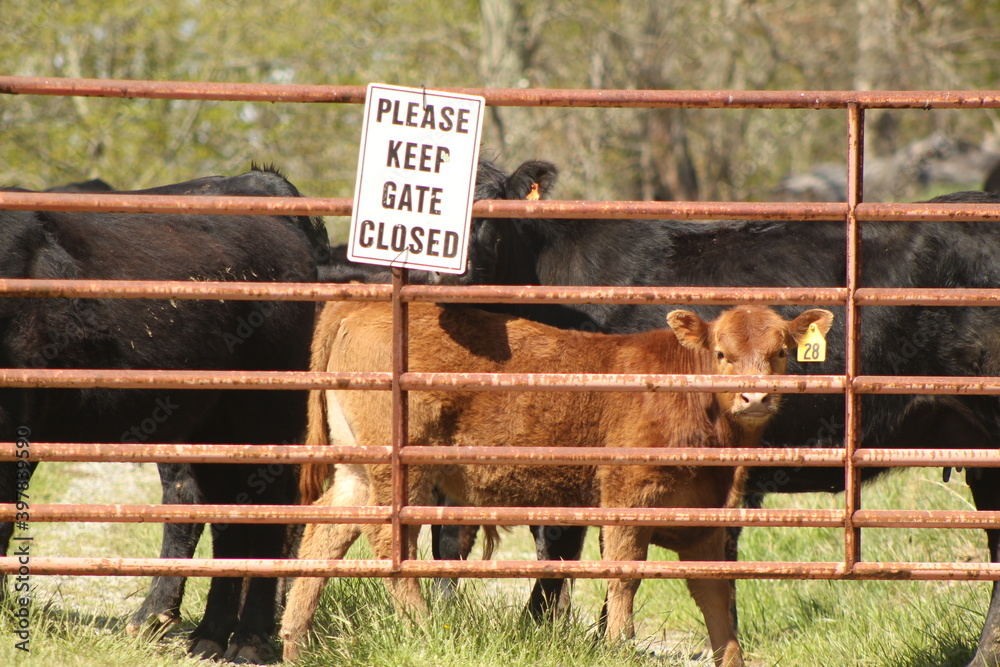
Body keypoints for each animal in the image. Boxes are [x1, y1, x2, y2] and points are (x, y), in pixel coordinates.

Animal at [0, 167, 328, 664]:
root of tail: (260, 181)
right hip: (209, 423)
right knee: (219, 508)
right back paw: (205, 633)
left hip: (266, 411)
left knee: (269, 506)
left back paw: (249, 640)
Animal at [278, 304, 832, 667]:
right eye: (721, 353)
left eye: (781, 352)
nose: (754, 397)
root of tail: (361, 306)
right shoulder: (627, 496)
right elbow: (624, 578)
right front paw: (618, 648)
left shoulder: (706, 520)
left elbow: (717, 595)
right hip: (403, 470)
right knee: (389, 542)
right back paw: (423, 628)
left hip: (358, 470)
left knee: (324, 535)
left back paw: (294, 642)